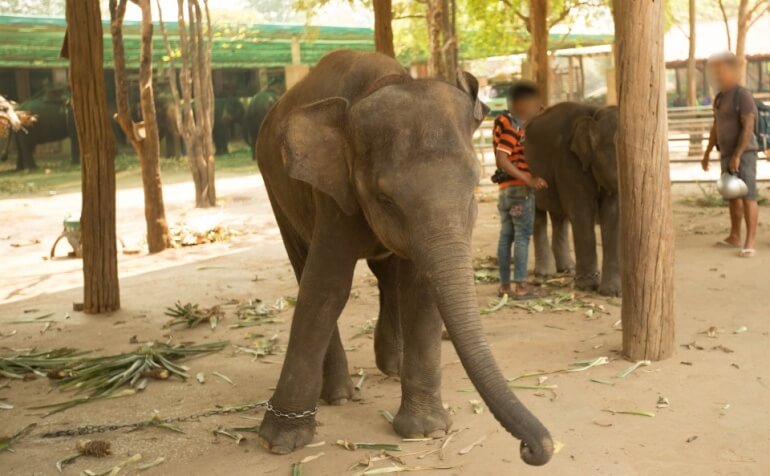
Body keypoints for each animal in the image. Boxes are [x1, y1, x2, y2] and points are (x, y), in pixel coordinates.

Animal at [524, 102, 620, 296]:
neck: (595, 114)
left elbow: (611, 215)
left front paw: (612, 293)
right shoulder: (569, 163)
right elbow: (582, 213)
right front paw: (587, 287)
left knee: (559, 217)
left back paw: (567, 269)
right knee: (538, 215)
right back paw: (545, 274)